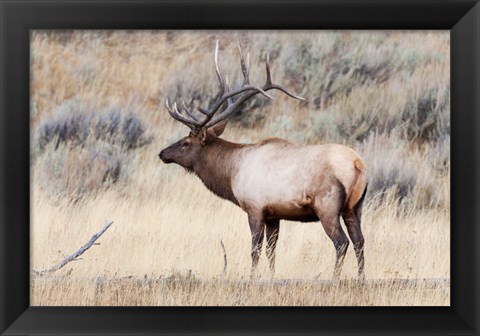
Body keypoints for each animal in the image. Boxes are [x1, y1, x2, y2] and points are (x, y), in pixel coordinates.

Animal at [158, 41, 368, 278]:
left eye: (186, 142)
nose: (162, 153)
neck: (231, 173)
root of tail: (357, 164)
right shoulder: (273, 214)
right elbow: (271, 250)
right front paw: (272, 276)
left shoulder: (255, 208)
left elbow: (255, 250)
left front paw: (252, 277)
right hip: (354, 207)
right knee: (360, 241)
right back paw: (361, 278)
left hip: (328, 206)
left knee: (342, 242)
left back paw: (335, 277)